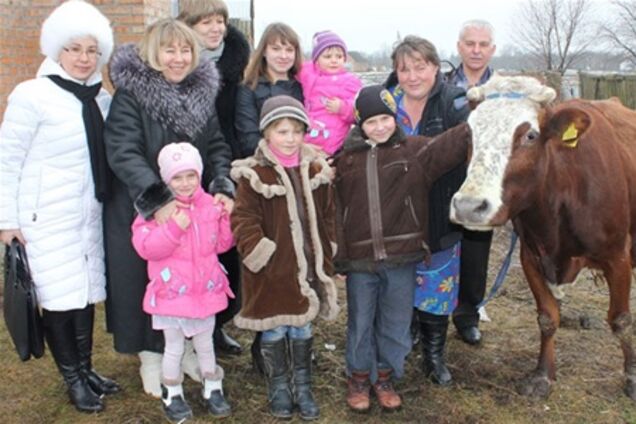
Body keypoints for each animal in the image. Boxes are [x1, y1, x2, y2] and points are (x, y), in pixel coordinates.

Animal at [450, 75, 636, 400]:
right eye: (470, 133)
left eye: (530, 135)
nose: (469, 206)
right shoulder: (531, 255)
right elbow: (547, 318)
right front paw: (542, 375)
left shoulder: (618, 255)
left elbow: (621, 319)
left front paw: (632, 376)